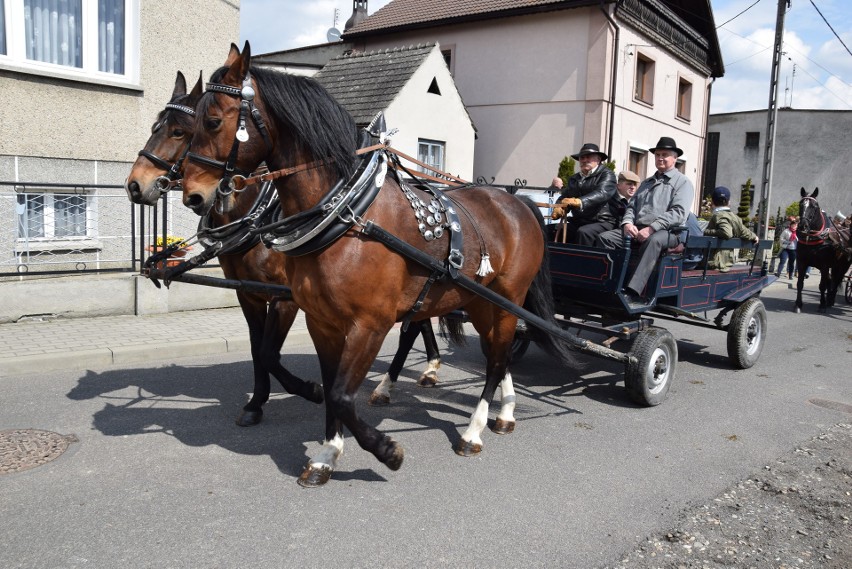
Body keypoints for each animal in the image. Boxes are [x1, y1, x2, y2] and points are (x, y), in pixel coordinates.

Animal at [126, 70, 446, 426]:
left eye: (181, 131)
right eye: (155, 127)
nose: (135, 185)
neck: (255, 216)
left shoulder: (286, 297)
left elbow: (269, 352)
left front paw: (309, 390)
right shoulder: (248, 293)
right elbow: (257, 349)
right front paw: (256, 402)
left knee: (413, 326)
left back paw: (399, 381)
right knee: (420, 319)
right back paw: (422, 370)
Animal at [181, 43, 580, 488]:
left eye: (213, 120)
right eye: (189, 125)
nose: (193, 195)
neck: (348, 216)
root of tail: (520, 202)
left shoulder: (369, 323)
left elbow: (341, 393)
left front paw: (386, 450)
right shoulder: (321, 320)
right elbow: (331, 389)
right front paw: (327, 454)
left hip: (507, 297)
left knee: (495, 360)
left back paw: (473, 431)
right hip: (479, 301)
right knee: (500, 351)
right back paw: (506, 412)